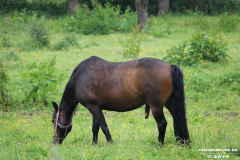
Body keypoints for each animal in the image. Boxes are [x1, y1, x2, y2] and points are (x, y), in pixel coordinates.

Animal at [51, 56, 190, 145]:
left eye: (53, 121)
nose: (54, 141)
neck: (79, 78)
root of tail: (170, 66)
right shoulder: (95, 107)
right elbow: (95, 128)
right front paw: (94, 144)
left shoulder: (93, 107)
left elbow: (104, 127)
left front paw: (110, 143)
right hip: (170, 103)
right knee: (179, 119)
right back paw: (183, 142)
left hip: (156, 106)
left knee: (162, 124)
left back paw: (160, 144)